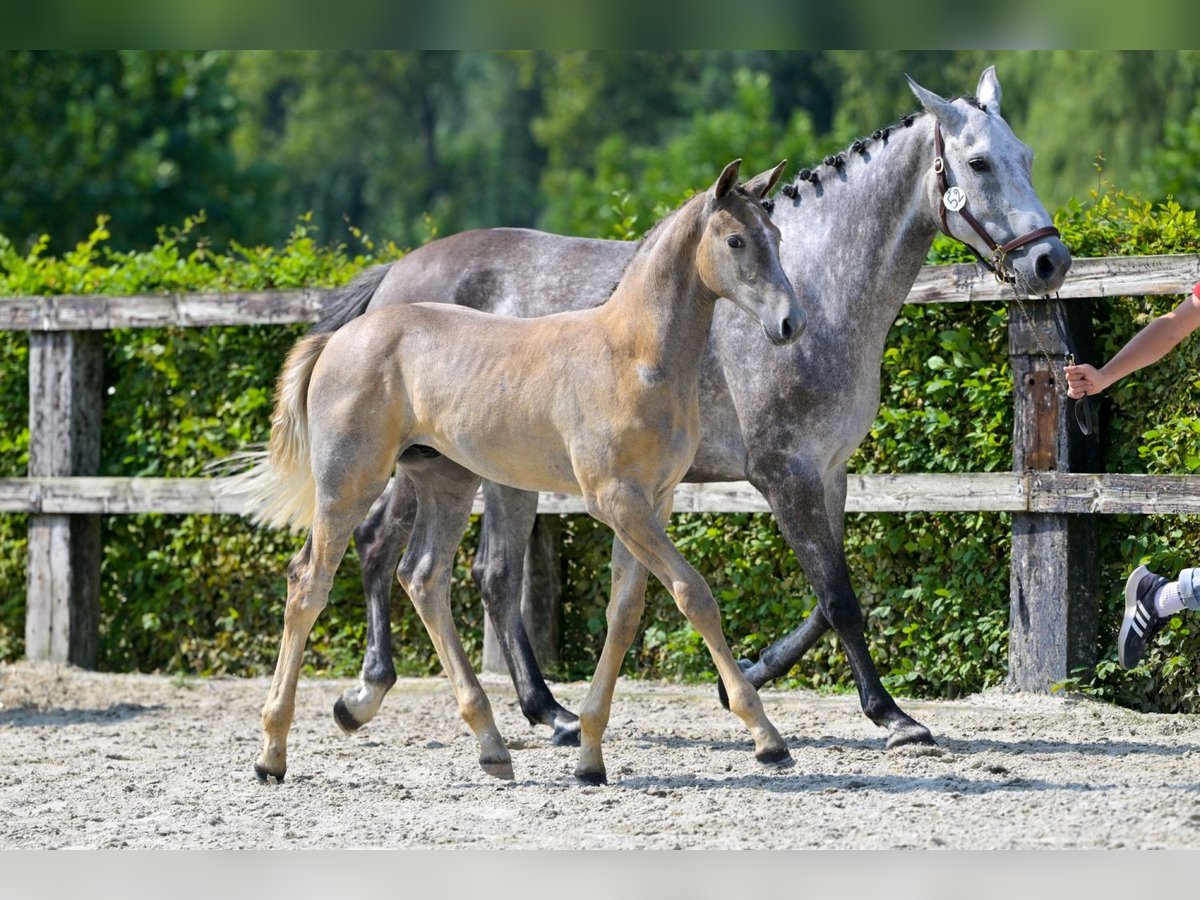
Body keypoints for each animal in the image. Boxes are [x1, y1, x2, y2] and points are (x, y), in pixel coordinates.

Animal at [234, 162, 806, 787]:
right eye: (737, 240)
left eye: (777, 235)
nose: (790, 323)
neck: (632, 355)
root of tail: (340, 337)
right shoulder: (616, 501)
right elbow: (692, 594)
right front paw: (767, 738)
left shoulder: (651, 502)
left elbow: (624, 613)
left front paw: (589, 754)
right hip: (349, 485)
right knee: (309, 583)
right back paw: (272, 752)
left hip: (447, 483)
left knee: (423, 577)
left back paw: (491, 744)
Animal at [316, 66, 1070, 748]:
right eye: (978, 162)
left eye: (1029, 155)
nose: (1051, 262)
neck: (816, 291)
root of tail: (399, 275)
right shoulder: (784, 474)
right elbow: (839, 598)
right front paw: (892, 716)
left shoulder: (827, 473)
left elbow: (828, 598)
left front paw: (752, 674)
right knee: (427, 559)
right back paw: (418, 698)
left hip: (466, 470)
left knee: (440, 562)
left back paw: (505, 708)